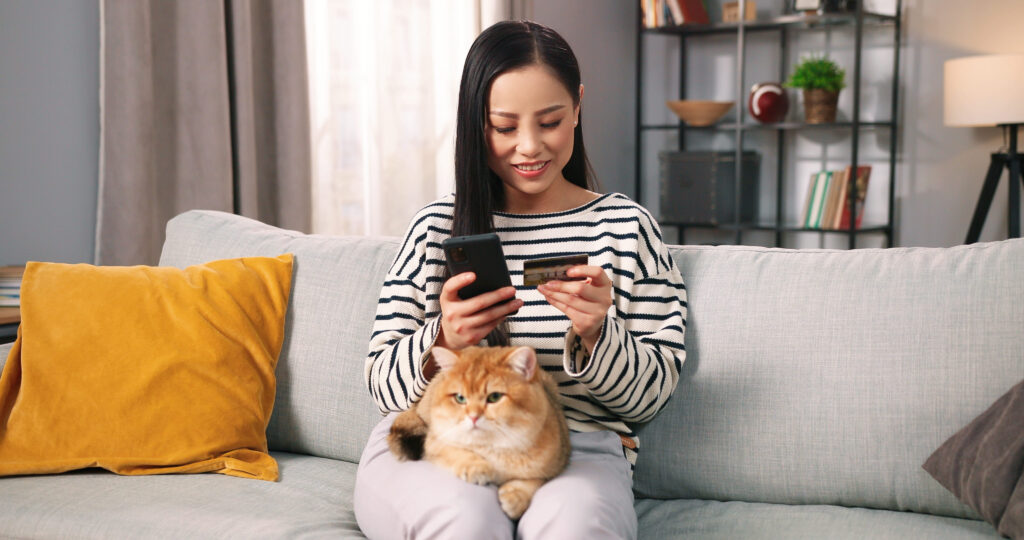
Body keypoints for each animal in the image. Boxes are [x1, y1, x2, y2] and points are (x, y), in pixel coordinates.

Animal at [387, 346, 573, 520]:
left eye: (495, 397)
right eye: (460, 398)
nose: (473, 417)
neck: (494, 446)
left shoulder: (556, 462)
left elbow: (534, 480)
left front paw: (516, 496)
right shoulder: (436, 441)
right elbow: (458, 452)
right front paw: (477, 467)